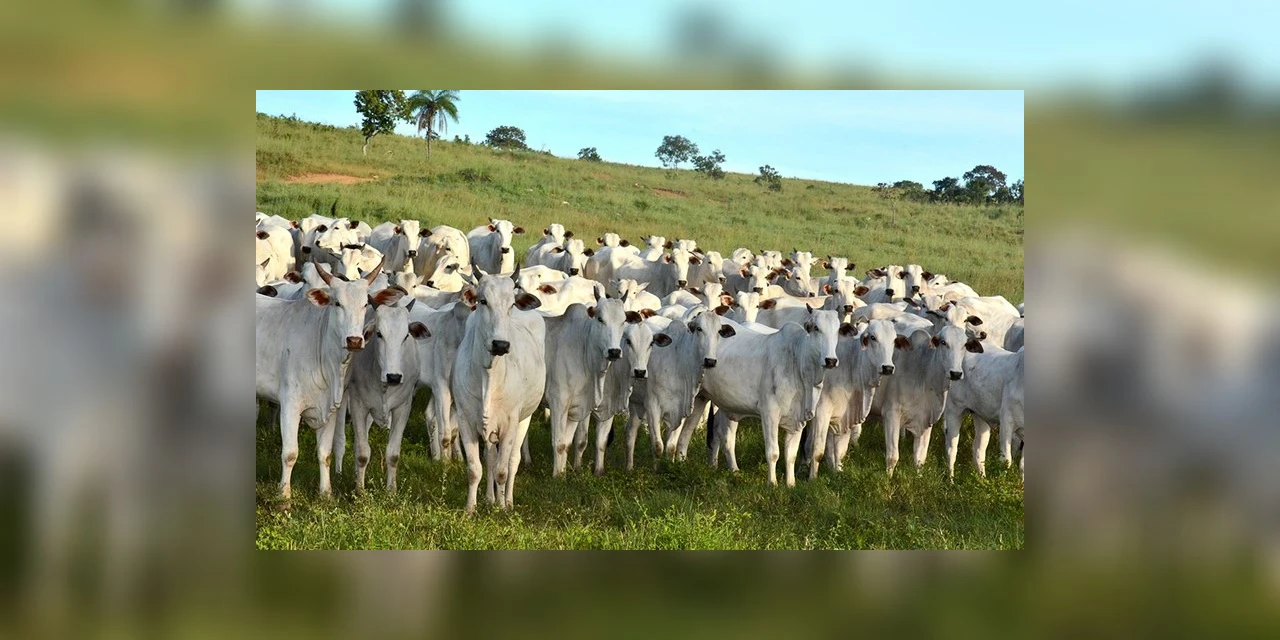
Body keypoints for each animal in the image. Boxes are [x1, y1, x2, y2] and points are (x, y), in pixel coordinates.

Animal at [255, 256, 384, 499]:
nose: (354, 340)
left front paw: (326, 492)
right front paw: (284, 495)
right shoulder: (290, 405)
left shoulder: (330, 408)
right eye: (337, 303)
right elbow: (290, 453)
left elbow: (325, 453)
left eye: (365, 304)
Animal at [332, 288, 430, 492]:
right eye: (379, 334)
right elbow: (362, 452)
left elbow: (393, 454)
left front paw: (391, 490)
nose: (394, 377)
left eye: (406, 336)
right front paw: (359, 490)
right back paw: (339, 472)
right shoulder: (358, 405)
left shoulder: (403, 407)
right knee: (342, 439)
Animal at [452, 270, 546, 513]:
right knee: (491, 459)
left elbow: (503, 471)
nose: (501, 344)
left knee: (512, 462)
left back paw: (507, 501)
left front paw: (502, 508)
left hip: (525, 419)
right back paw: (490, 498)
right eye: (483, 301)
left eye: (511, 304)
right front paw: (470, 508)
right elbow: (475, 469)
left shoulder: (511, 422)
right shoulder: (466, 420)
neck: (490, 374)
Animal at [873, 325, 980, 476]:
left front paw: (919, 477)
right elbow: (892, 457)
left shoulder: (926, 420)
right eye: (943, 342)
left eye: (964, 345)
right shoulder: (891, 414)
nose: (956, 374)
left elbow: (920, 458)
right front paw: (887, 479)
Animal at [942, 344, 1024, 480]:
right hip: (953, 409)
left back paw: (982, 480)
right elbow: (1006, 461)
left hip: (980, 416)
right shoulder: (1007, 422)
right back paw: (951, 480)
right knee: (951, 449)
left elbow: (1023, 466)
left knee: (978, 450)